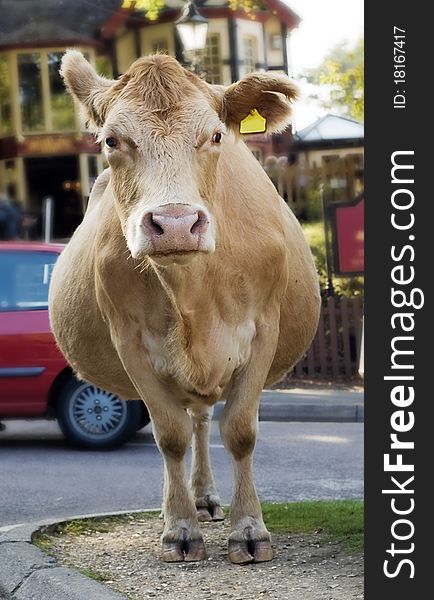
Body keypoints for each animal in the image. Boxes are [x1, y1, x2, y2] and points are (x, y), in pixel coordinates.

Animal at [49, 50, 320, 564]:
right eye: (111, 139)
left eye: (215, 136)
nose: (174, 223)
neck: (193, 292)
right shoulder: (130, 342)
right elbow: (168, 435)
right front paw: (179, 530)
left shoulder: (263, 329)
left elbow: (240, 430)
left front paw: (248, 530)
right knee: (185, 422)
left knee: (202, 417)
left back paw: (207, 499)